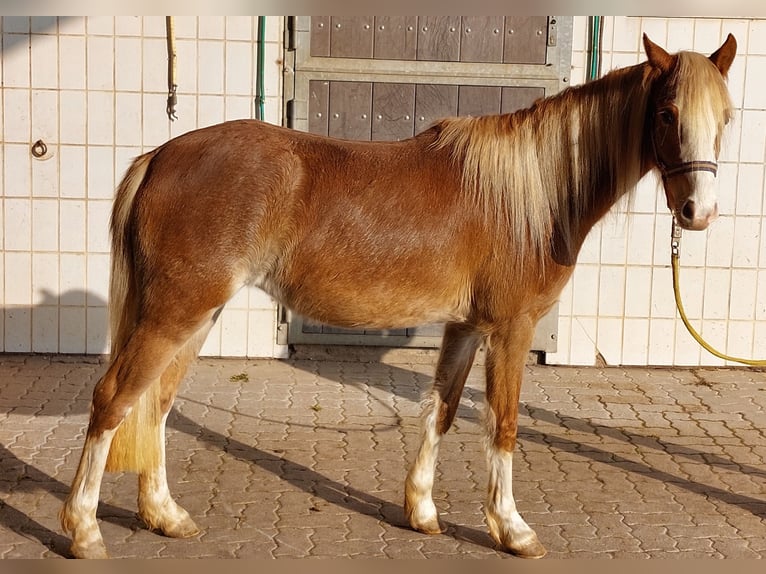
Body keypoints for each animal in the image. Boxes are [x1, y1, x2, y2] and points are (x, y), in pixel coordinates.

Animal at [61, 35, 736, 560]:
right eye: (668, 111)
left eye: (727, 117)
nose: (698, 214)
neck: (532, 192)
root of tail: (161, 156)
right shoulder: (511, 328)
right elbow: (504, 422)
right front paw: (512, 530)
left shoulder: (465, 327)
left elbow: (442, 410)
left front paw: (422, 512)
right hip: (174, 313)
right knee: (114, 399)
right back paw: (85, 531)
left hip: (195, 315)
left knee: (155, 404)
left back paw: (165, 517)